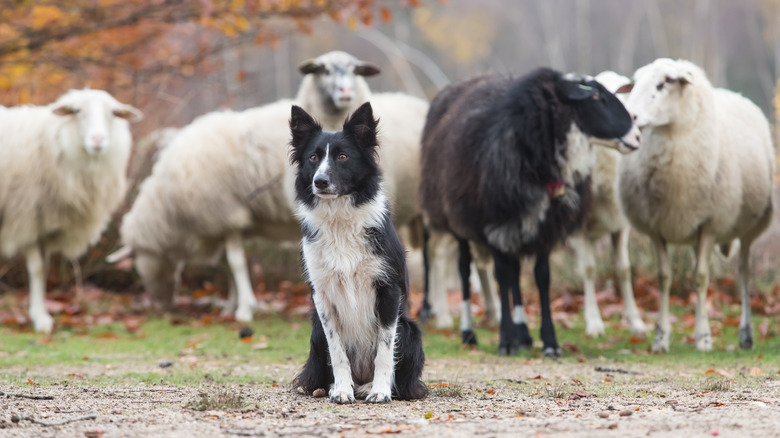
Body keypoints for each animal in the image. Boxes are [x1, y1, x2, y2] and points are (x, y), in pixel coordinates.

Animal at [0, 89, 142, 332]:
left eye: (113, 114)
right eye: (77, 112)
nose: (98, 140)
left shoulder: (42, 223)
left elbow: (44, 268)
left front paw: (41, 315)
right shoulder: (27, 216)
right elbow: (37, 268)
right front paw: (41, 319)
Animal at [290, 102, 430, 404]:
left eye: (343, 157)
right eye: (313, 157)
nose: (320, 181)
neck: (339, 218)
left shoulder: (388, 290)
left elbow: (385, 350)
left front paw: (380, 391)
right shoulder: (323, 296)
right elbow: (337, 351)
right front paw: (342, 390)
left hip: (409, 329)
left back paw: (369, 387)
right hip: (315, 331)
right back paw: (333, 387)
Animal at [420, 67, 640, 356]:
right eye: (595, 97)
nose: (637, 136)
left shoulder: (546, 226)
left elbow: (540, 277)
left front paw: (549, 342)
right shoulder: (494, 222)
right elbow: (501, 276)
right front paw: (506, 340)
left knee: (514, 271)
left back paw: (523, 334)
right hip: (458, 217)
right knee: (466, 270)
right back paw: (469, 333)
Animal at [568, 71, 648, 336]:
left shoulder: (620, 225)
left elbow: (623, 269)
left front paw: (636, 322)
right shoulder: (577, 228)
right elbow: (589, 269)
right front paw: (593, 322)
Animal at [616, 58, 772, 352]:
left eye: (664, 82)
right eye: (635, 82)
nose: (630, 116)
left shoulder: (709, 225)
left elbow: (701, 278)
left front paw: (703, 337)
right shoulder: (657, 228)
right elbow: (664, 278)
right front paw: (661, 338)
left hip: (748, 228)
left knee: (744, 272)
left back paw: (746, 334)